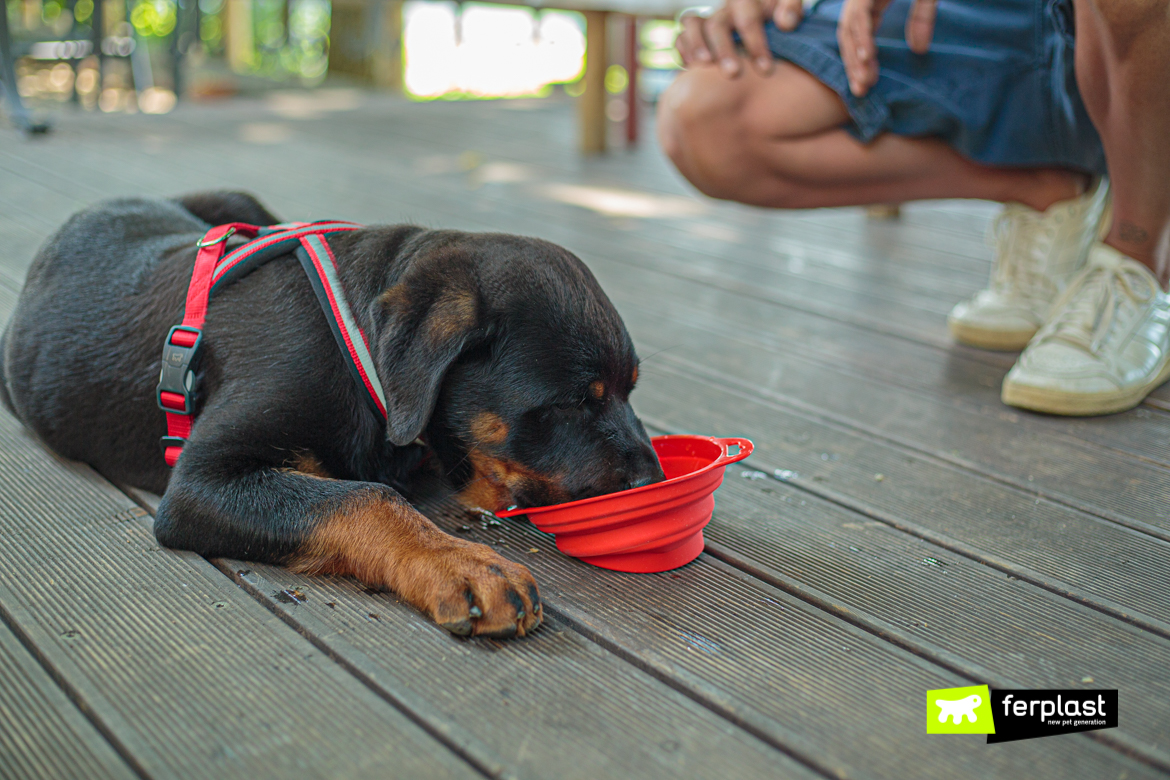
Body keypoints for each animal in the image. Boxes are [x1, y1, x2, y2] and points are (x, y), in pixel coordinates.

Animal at [0, 191, 664, 636]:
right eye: (574, 401)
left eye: (631, 389)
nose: (652, 480)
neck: (356, 348)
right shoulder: (198, 481)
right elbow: (366, 497)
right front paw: (467, 566)